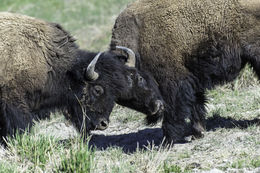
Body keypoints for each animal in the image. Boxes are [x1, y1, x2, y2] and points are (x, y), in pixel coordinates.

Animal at [111, 0, 260, 143]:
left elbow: (175, 109)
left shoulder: (173, 83)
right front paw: (197, 133)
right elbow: (197, 103)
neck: (139, 37)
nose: (155, 109)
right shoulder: (192, 80)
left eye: (138, 79)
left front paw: (168, 140)